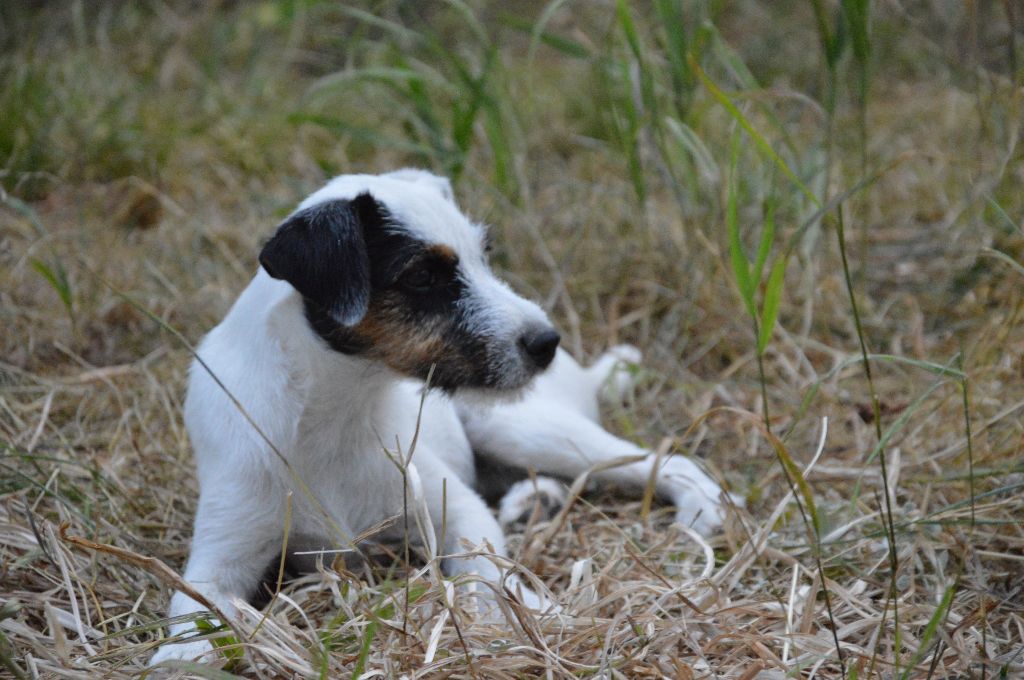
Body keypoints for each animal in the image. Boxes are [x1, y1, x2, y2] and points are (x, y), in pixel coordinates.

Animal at [149, 170, 729, 663]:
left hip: (517, 425)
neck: (335, 412)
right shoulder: (216, 562)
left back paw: (700, 510)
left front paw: (514, 615)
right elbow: (192, 624)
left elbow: (482, 573)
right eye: (424, 276)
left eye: (483, 256)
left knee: (661, 462)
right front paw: (180, 660)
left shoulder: (458, 513)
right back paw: (534, 501)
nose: (547, 341)